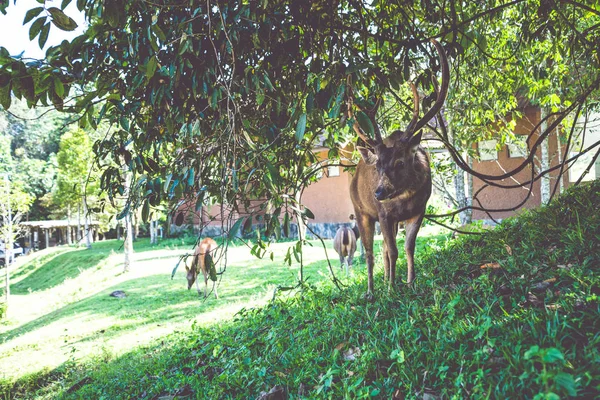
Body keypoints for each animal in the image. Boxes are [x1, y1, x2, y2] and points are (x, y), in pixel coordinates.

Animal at [346, 39, 450, 298]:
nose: (379, 192)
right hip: (360, 210)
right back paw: (372, 290)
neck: (404, 199)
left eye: (400, 162)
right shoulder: (384, 214)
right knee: (370, 252)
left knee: (382, 249)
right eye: (378, 166)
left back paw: (384, 281)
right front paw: (393, 288)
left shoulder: (420, 209)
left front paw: (410, 282)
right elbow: (392, 251)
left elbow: (409, 246)